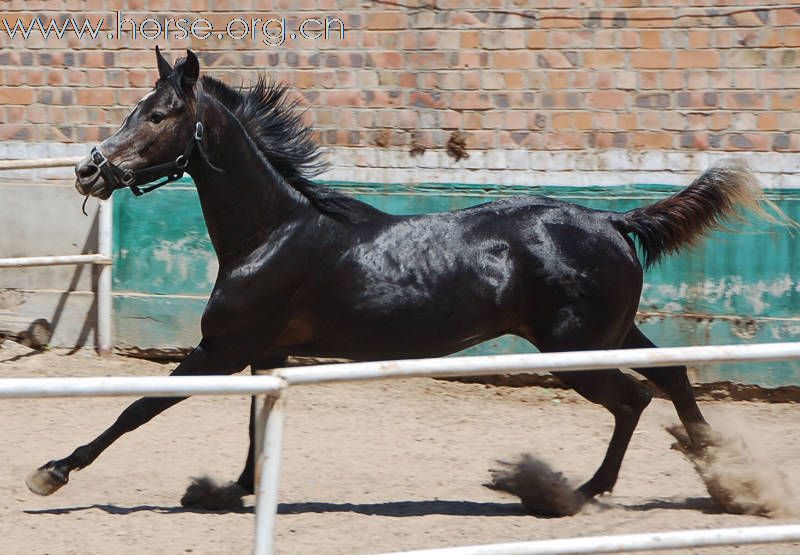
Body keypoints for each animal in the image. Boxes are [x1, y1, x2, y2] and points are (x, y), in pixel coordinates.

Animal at [28, 50, 772, 520]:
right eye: (135, 109)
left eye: (157, 116)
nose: (89, 169)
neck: (273, 232)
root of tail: (614, 219)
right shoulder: (266, 354)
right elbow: (256, 425)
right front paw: (228, 490)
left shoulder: (224, 349)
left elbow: (140, 406)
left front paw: (52, 471)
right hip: (611, 331)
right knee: (672, 375)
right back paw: (730, 483)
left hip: (576, 349)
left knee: (634, 398)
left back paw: (575, 493)